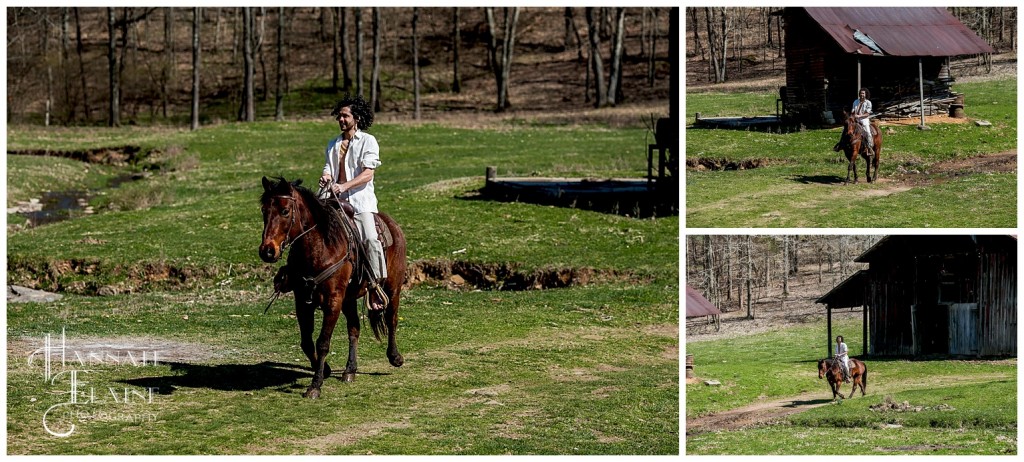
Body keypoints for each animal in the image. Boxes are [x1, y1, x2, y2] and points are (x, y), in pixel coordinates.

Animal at [258, 175, 405, 399]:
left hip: (392, 288)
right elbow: (306, 341)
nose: (267, 251)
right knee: (354, 328)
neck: (320, 247)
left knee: (391, 319)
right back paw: (350, 370)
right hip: (349, 298)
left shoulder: (333, 301)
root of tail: (393, 225)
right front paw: (324, 369)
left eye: (285, 211)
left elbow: (323, 342)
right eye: (264, 211)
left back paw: (395, 357)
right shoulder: (303, 301)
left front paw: (315, 385)